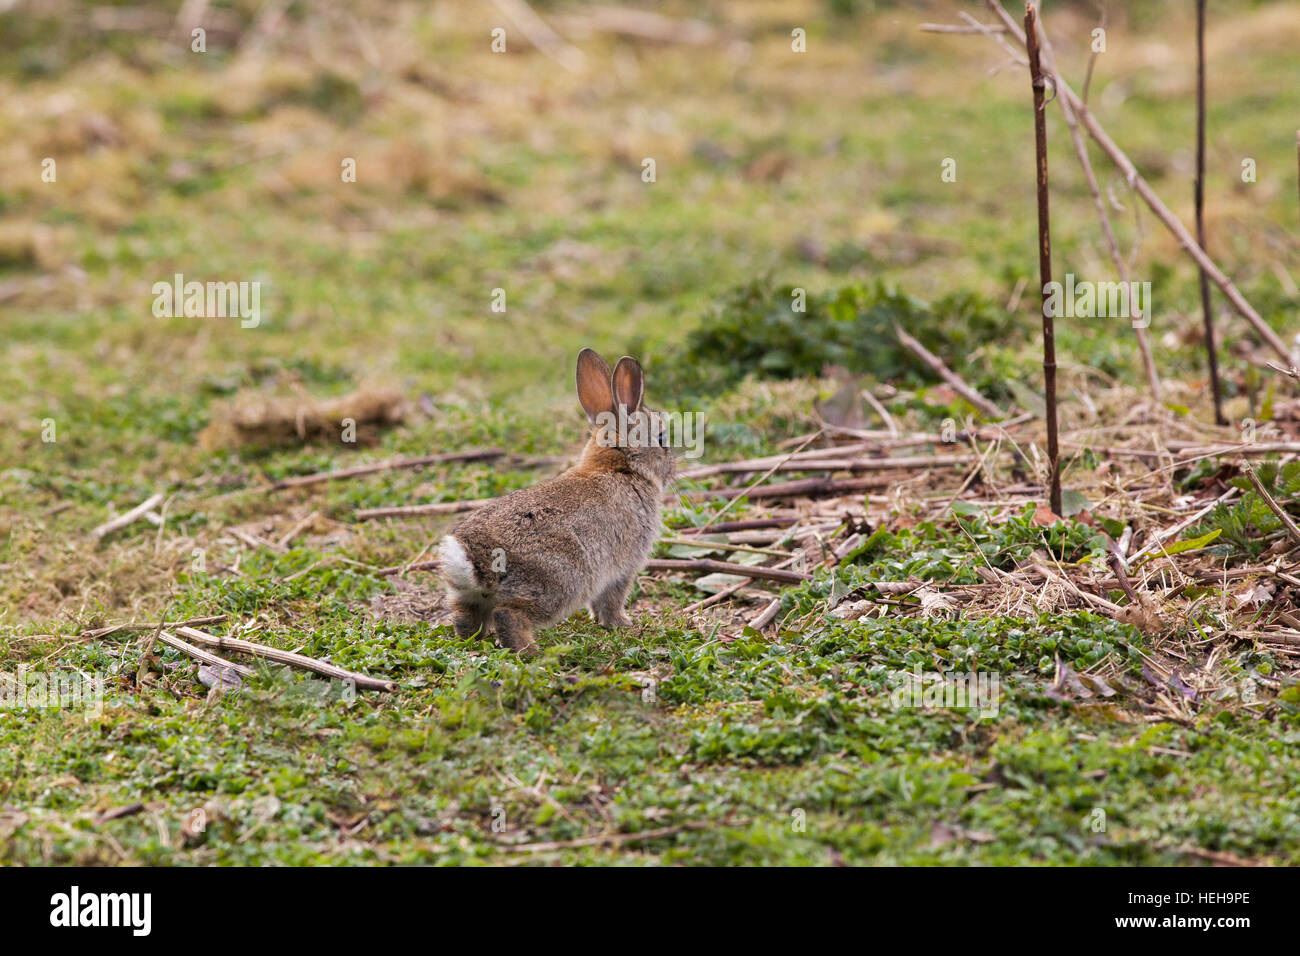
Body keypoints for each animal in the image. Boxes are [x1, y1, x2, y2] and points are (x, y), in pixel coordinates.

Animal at [439, 348, 676, 655]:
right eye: (661, 438)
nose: (672, 469)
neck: (620, 468)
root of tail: (474, 556)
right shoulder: (623, 568)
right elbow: (611, 600)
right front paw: (621, 623)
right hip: (560, 584)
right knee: (509, 615)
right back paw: (531, 651)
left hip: (470, 597)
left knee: (466, 619)